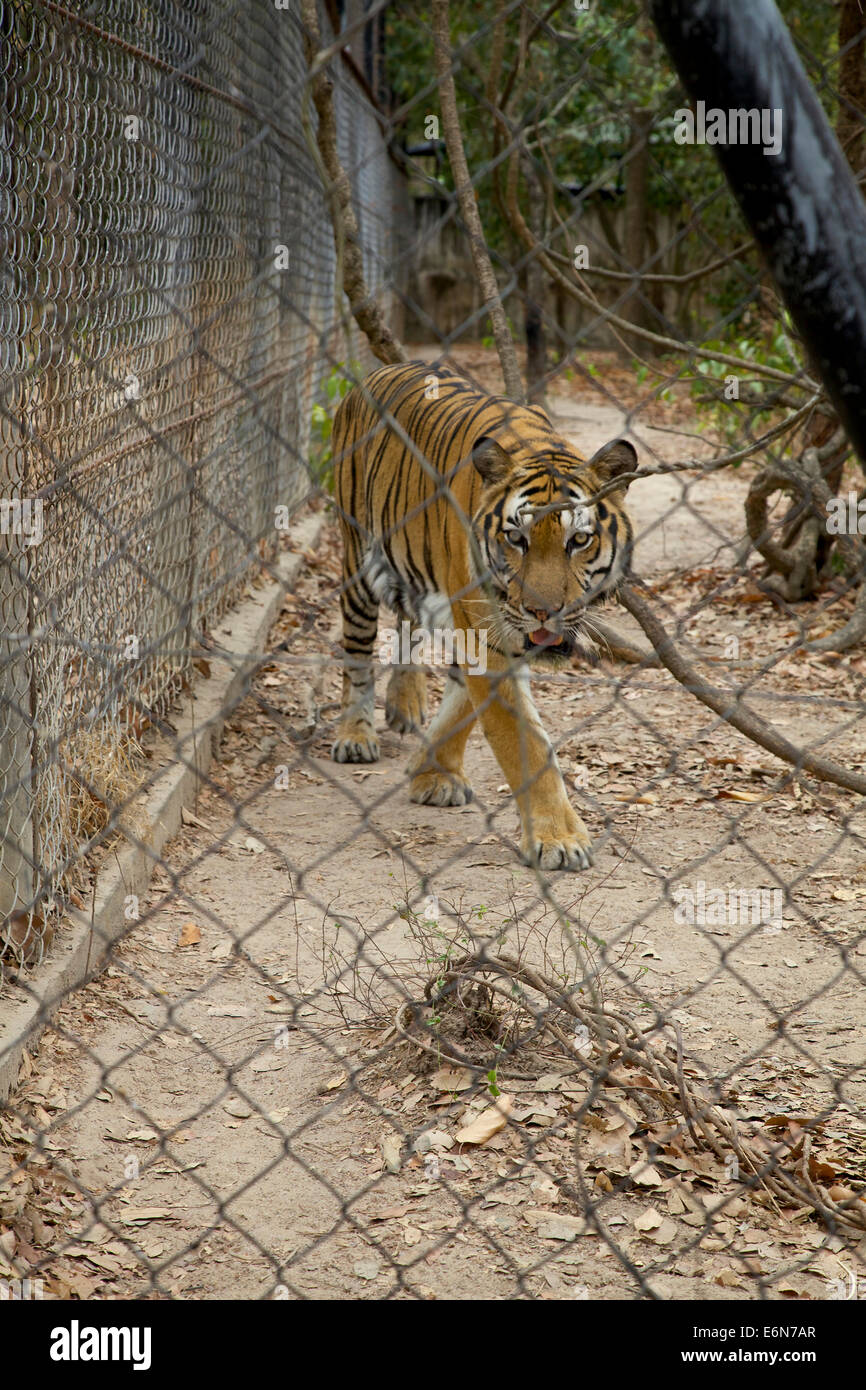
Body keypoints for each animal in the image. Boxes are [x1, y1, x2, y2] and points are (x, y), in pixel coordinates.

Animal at [328, 364, 633, 872]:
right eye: (517, 539)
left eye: (578, 540)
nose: (543, 611)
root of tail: (376, 372)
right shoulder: (485, 631)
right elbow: (523, 740)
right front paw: (559, 839)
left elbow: (462, 704)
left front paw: (433, 772)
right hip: (358, 563)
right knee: (356, 652)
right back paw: (355, 734)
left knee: (409, 629)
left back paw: (406, 704)